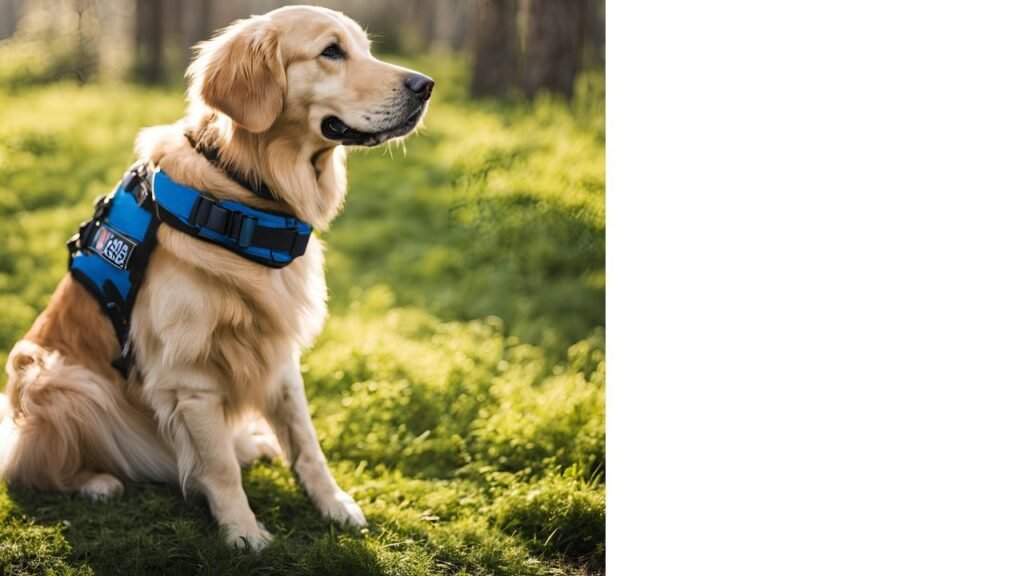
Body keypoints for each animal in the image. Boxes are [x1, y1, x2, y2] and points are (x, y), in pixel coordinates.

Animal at [0, 5, 430, 545]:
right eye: (331, 51)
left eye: (365, 49)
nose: (426, 85)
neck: (244, 192)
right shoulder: (190, 375)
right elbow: (219, 466)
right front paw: (243, 534)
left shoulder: (278, 353)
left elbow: (306, 442)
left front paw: (334, 504)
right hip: (57, 377)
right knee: (31, 466)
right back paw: (97, 482)